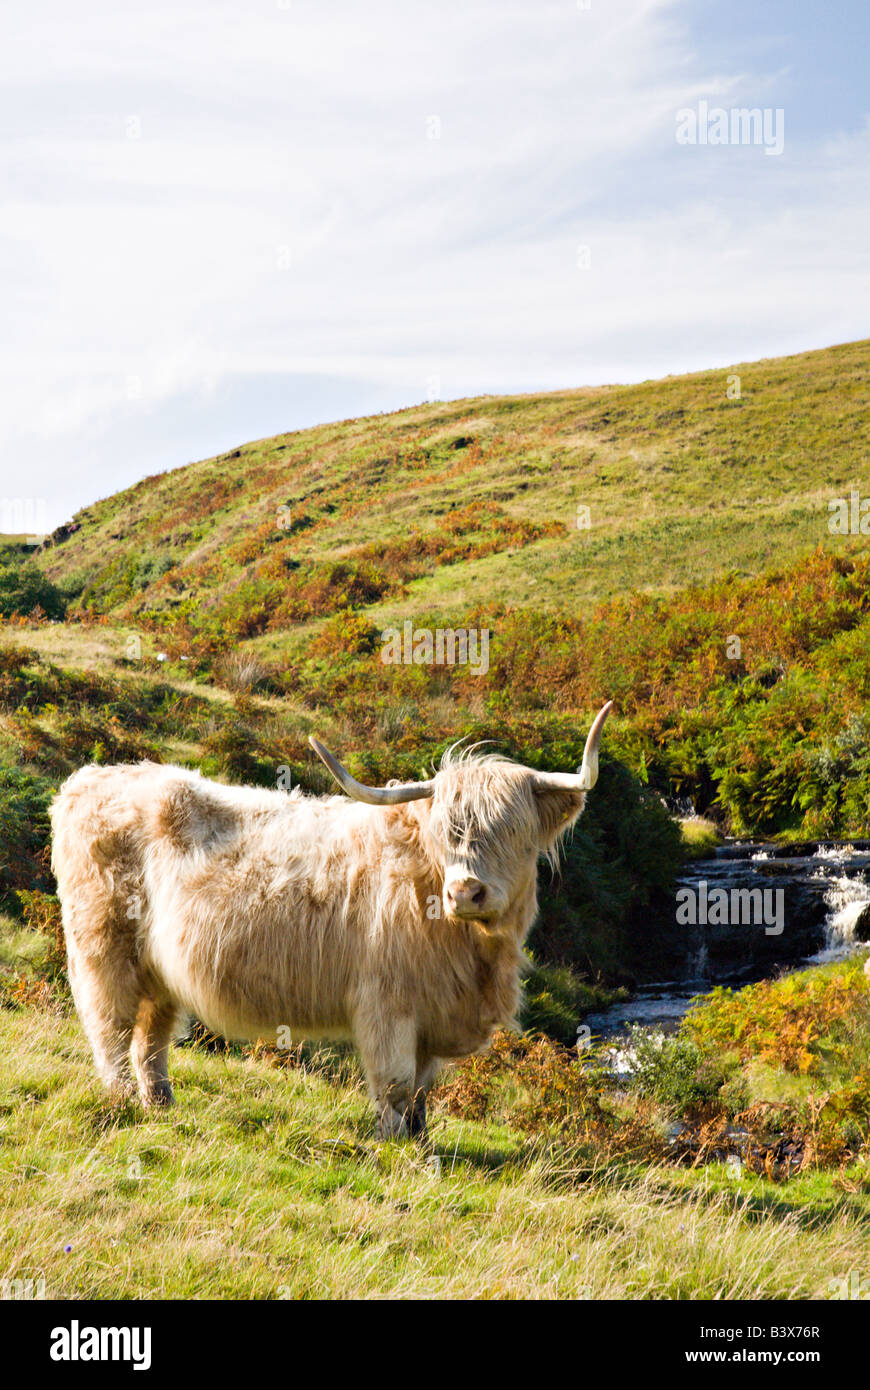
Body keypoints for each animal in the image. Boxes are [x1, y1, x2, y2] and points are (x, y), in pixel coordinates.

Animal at [50, 702, 612, 1139]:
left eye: (515, 831)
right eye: (445, 833)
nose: (465, 892)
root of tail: (88, 779)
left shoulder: (433, 1015)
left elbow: (422, 1094)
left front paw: (422, 1141)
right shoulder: (387, 1006)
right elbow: (395, 1086)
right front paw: (396, 1148)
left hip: (158, 970)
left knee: (152, 1038)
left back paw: (161, 1106)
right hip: (104, 949)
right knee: (112, 1030)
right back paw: (124, 1103)